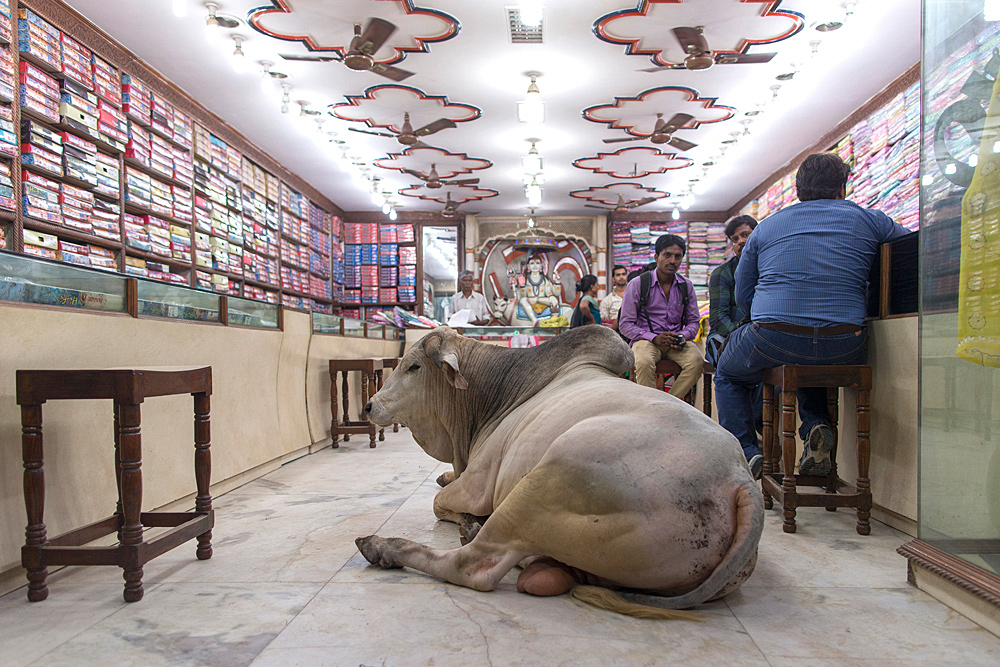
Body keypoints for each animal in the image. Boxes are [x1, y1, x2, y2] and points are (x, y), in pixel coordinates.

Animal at [360, 326, 764, 620]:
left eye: (414, 366)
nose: (369, 405)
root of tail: (741, 481)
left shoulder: (477, 484)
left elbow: (440, 501)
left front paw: (463, 515)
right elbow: (443, 484)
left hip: (547, 478)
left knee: (474, 566)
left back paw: (386, 545)